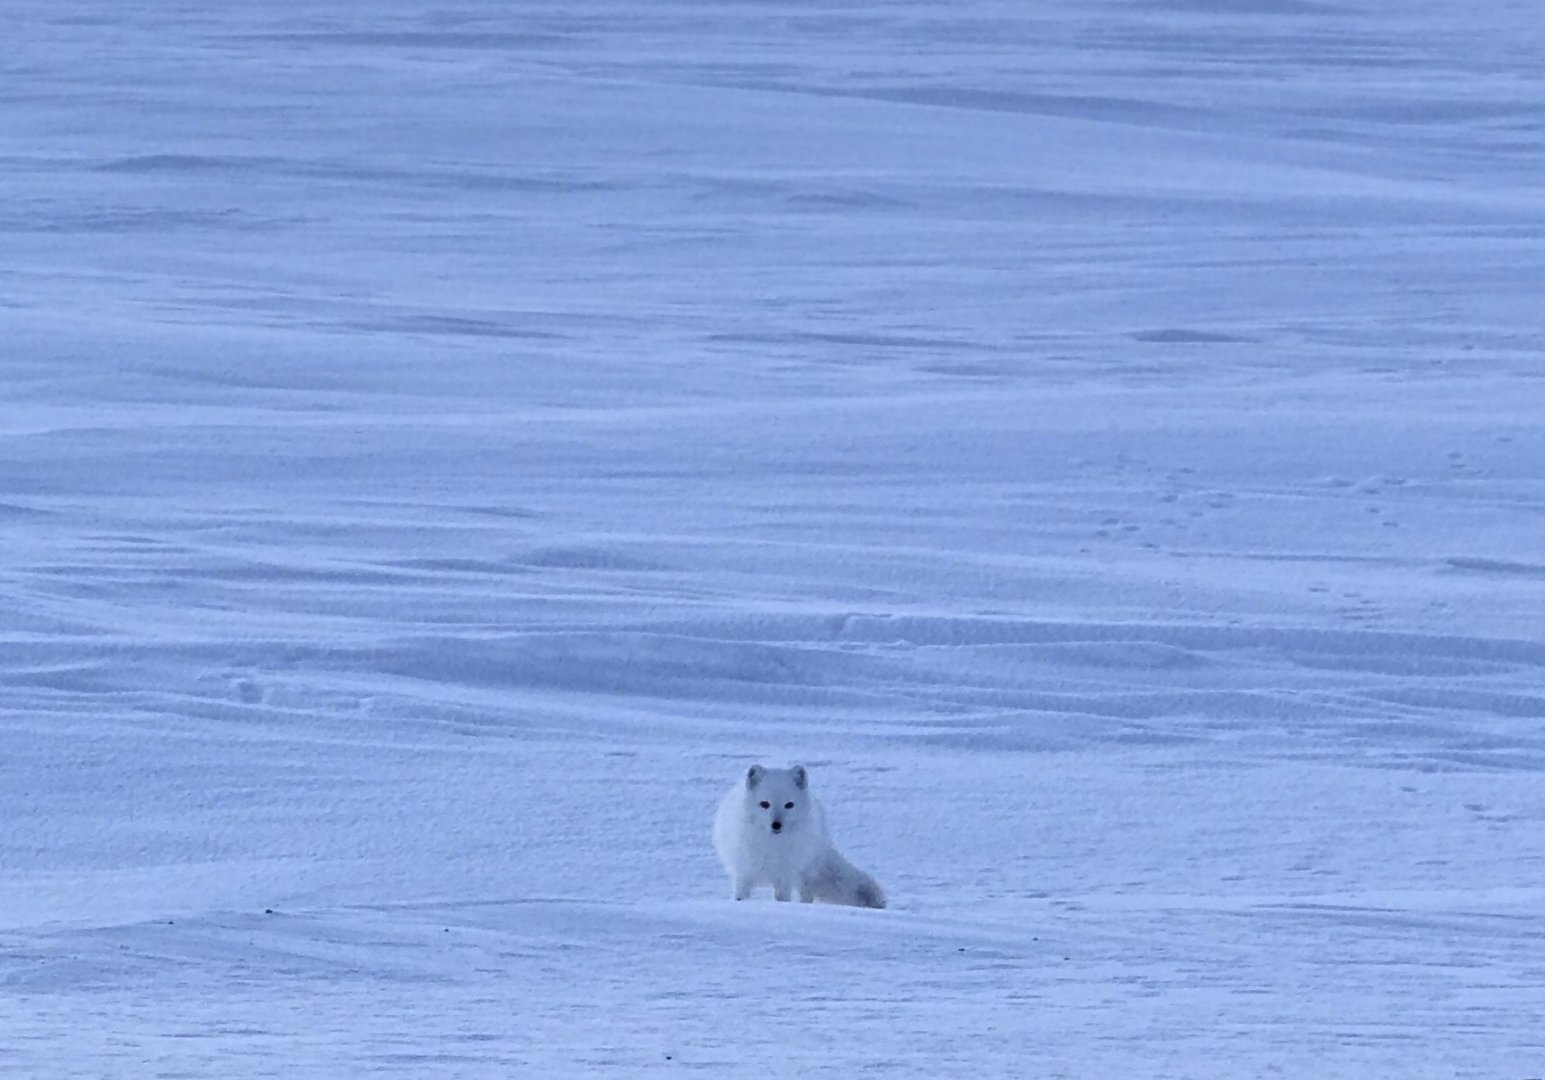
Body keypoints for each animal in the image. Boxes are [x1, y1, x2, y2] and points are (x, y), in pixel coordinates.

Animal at [712, 764, 886, 909]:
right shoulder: (744, 872)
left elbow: (782, 898)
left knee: (806, 896)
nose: (776, 824)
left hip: (805, 872)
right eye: (764, 804)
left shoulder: (785, 876)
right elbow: (741, 896)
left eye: (789, 805)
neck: (771, 845)